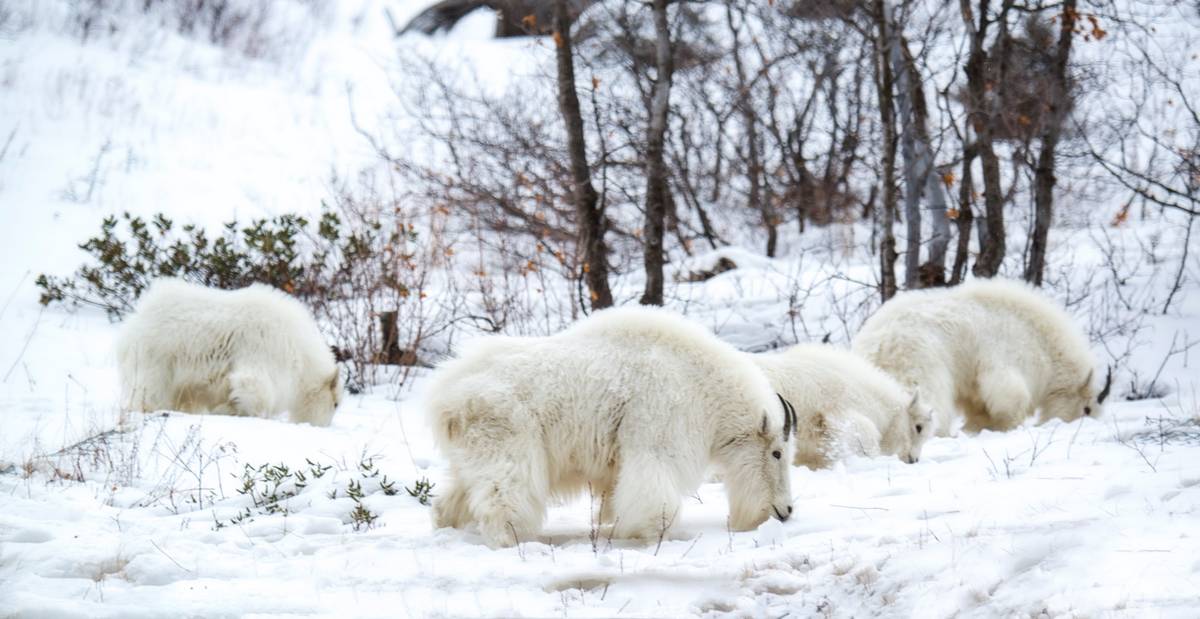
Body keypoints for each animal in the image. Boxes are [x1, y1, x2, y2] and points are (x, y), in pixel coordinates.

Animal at [115, 279, 343, 424]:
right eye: (335, 404)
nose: (323, 425)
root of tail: (137, 316)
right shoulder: (264, 353)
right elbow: (254, 388)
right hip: (158, 355)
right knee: (150, 387)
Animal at [424, 304, 796, 547]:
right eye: (777, 453)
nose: (786, 511)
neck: (704, 386)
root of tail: (446, 399)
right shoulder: (656, 443)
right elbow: (653, 495)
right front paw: (654, 533)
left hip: (472, 456)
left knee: (449, 501)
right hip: (508, 445)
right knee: (503, 496)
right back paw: (513, 539)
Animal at [849, 279, 1108, 434]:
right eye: (1087, 409)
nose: (1081, 424)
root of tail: (878, 343)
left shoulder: (972, 377)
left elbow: (979, 405)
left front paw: (976, 428)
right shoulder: (1009, 357)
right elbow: (1009, 395)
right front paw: (1008, 426)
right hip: (920, 359)